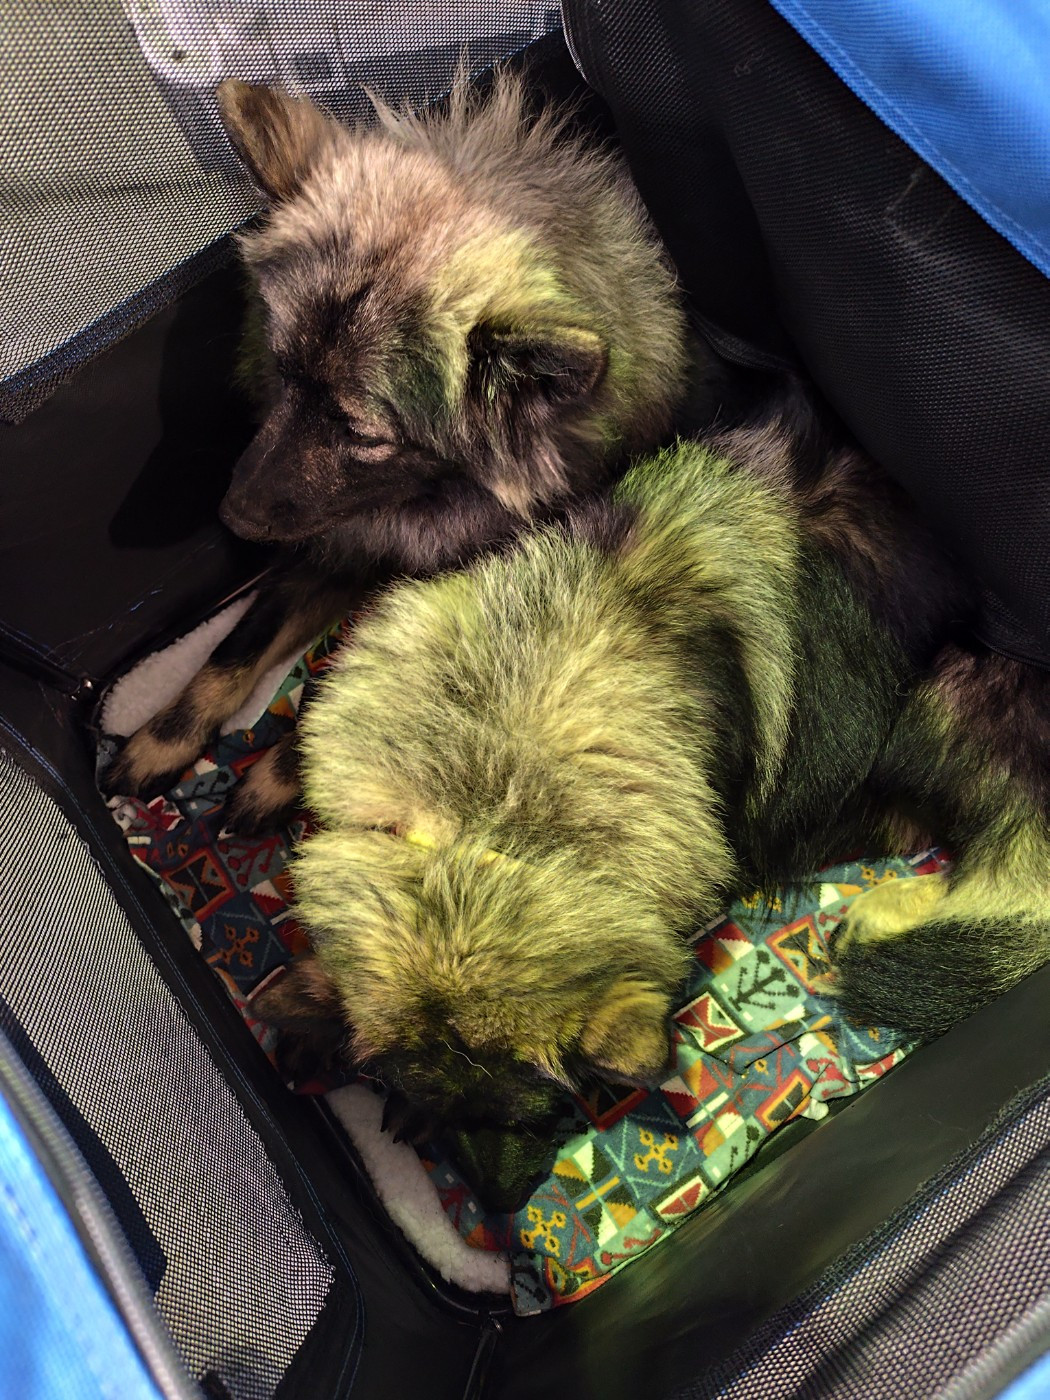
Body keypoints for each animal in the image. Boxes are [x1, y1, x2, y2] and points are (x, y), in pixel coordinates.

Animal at [102, 67, 694, 827]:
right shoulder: (330, 548)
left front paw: (283, 775)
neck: (426, 502)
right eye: (283, 371)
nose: (232, 518)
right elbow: (234, 651)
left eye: (363, 434)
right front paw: (164, 740)